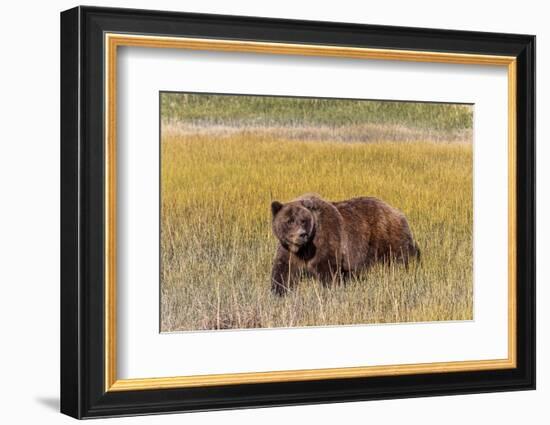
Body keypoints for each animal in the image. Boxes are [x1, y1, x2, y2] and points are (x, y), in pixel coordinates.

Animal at [270, 193, 420, 294]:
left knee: (400, 258)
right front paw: (277, 291)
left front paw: (330, 290)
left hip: (387, 237)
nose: (301, 234)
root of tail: (397, 212)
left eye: (303, 220)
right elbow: (283, 270)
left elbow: (328, 269)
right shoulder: (289, 250)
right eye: (289, 221)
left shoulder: (326, 240)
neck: (303, 248)